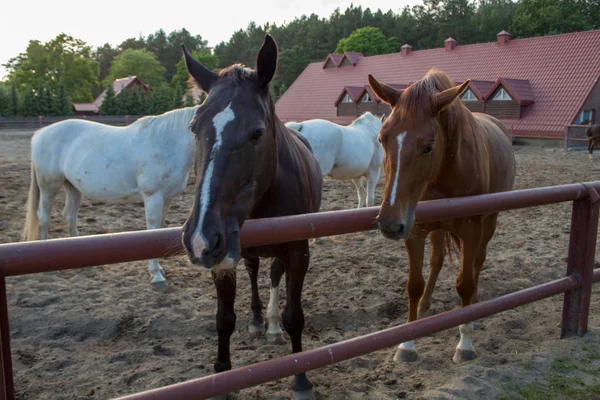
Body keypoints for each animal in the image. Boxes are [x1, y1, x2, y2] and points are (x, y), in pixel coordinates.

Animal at [21, 105, 198, 288]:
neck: (166, 142)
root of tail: (40, 133)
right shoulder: (153, 197)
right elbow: (152, 229)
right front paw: (156, 275)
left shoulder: (167, 198)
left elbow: (159, 232)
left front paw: (159, 269)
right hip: (49, 186)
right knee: (43, 216)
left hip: (73, 188)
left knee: (69, 216)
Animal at [180, 35, 324, 400]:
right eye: (193, 127)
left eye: (257, 133)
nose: (200, 238)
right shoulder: (222, 258)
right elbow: (224, 319)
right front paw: (221, 378)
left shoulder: (298, 253)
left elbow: (294, 316)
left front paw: (301, 378)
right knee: (255, 270)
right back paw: (259, 320)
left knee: (272, 276)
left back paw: (270, 325)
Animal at [368, 69, 516, 362]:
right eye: (381, 139)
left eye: (428, 146)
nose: (389, 224)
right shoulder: (414, 229)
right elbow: (414, 284)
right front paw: (407, 344)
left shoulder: (471, 229)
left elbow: (465, 283)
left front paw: (465, 343)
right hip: (436, 228)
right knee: (436, 261)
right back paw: (425, 306)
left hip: (489, 222)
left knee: (478, 262)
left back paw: (474, 307)